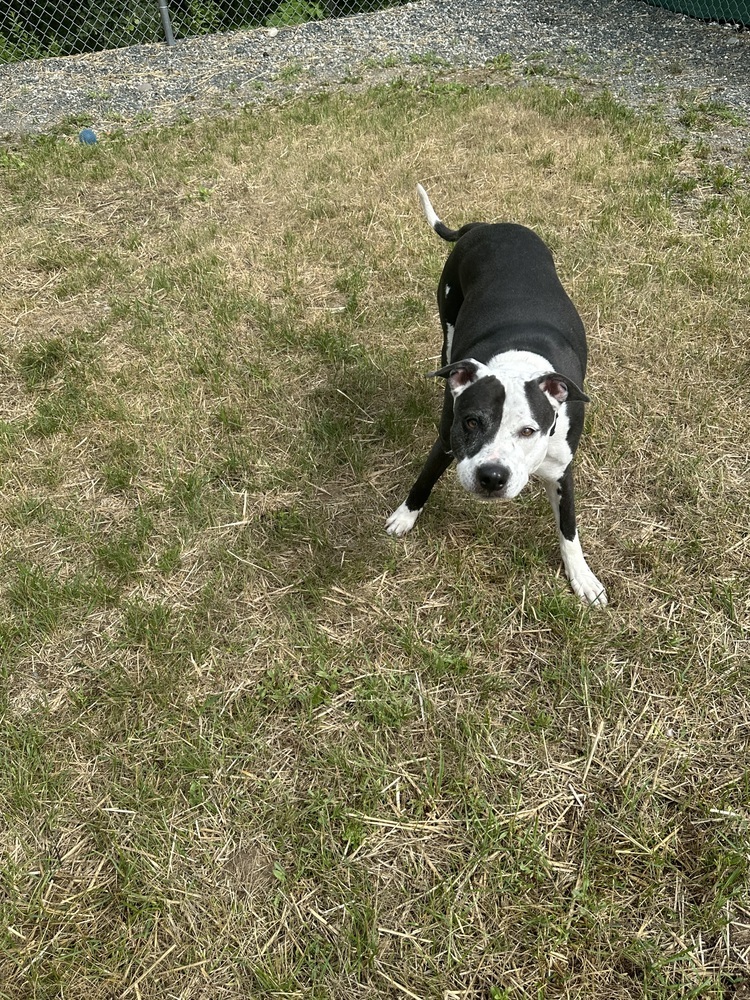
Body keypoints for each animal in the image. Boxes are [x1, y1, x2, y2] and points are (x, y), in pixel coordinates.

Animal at [388, 186, 612, 608]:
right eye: (472, 422)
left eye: (529, 431)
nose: (492, 477)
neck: (519, 361)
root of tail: (486, 225)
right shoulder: (447, 439)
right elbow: (424, 478)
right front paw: (405, 516)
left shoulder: (562, 469)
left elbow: (569, 527)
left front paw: (582, 576)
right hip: (447, 323)